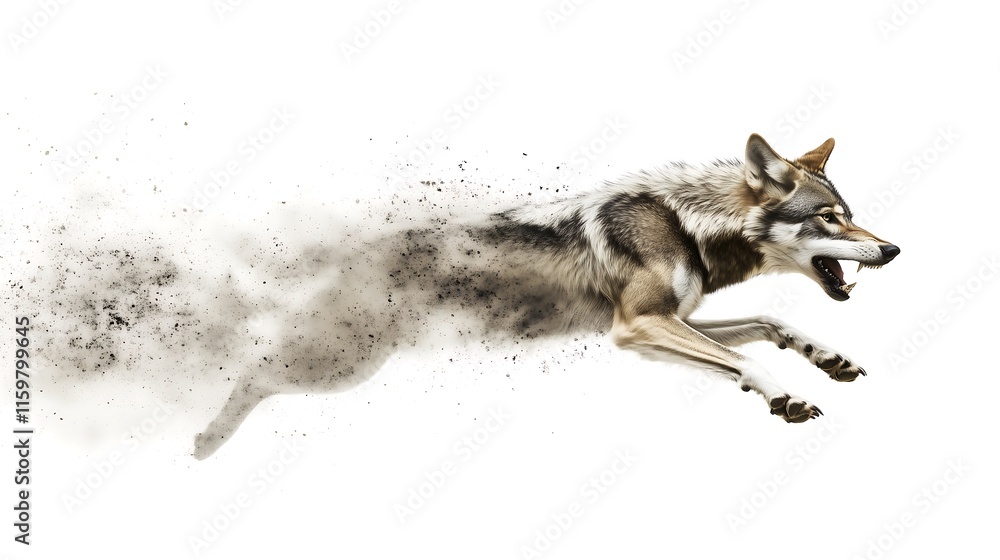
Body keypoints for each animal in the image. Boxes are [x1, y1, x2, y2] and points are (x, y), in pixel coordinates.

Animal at [193, 133, 899, 459]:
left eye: (851, 216)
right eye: (830, 218)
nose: (893, 250)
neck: (684, 224)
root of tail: (359, 249)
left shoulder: (668, 321)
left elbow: (770, 323)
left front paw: (829, 359)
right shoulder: (637, 326)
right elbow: (749, 356)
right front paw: (786, 395)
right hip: (341, 365)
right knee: (252, 370)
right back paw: (205, 439)